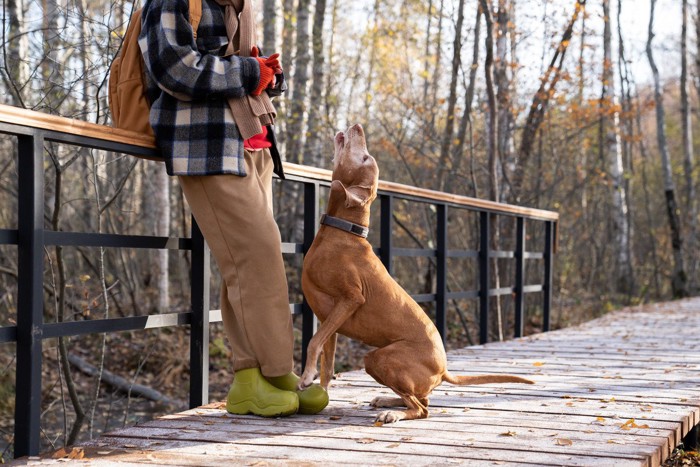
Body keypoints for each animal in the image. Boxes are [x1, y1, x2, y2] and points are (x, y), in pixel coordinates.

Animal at [298, 125, 532, 424]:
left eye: (365, 158)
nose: (358, 127)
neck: (342, 232)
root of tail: (443, 369)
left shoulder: (351, 299)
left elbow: (313, 342)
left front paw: (305, 378)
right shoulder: (330, 318)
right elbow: (327, 366)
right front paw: (321, 393)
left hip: (378, 358)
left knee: (423, 408)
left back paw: (392, 413)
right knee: (423, 399)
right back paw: (387, 400)